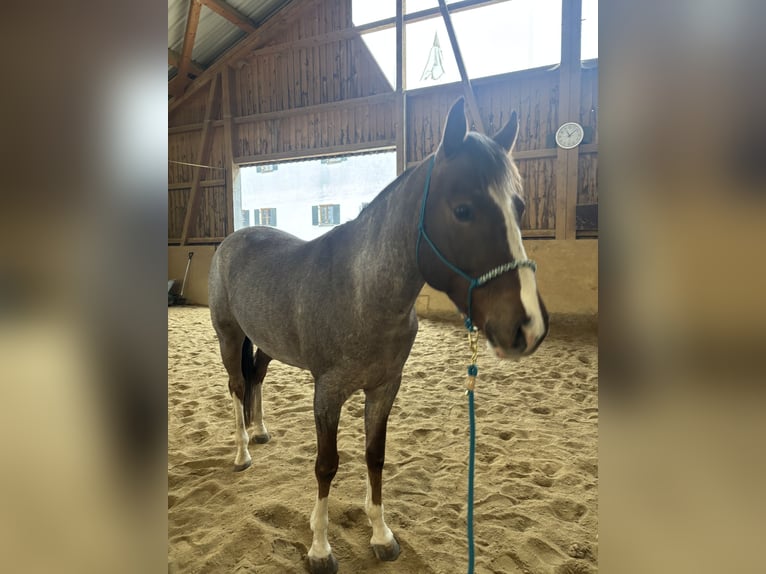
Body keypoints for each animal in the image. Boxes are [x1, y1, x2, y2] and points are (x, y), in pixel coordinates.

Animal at [208, 98, 549, 574]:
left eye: (518, 207)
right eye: (463, 209)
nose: (528, 326)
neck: (362, 292)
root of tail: (232, 240)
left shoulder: (385, 387)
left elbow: (375, 456)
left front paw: (382, 536)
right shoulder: (327, 393)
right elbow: (326, 464)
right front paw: (319, 548)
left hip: (267, 344)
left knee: (256, 376)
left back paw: (260, 432)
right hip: (229, 335)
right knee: (238, 386)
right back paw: (242, 452)